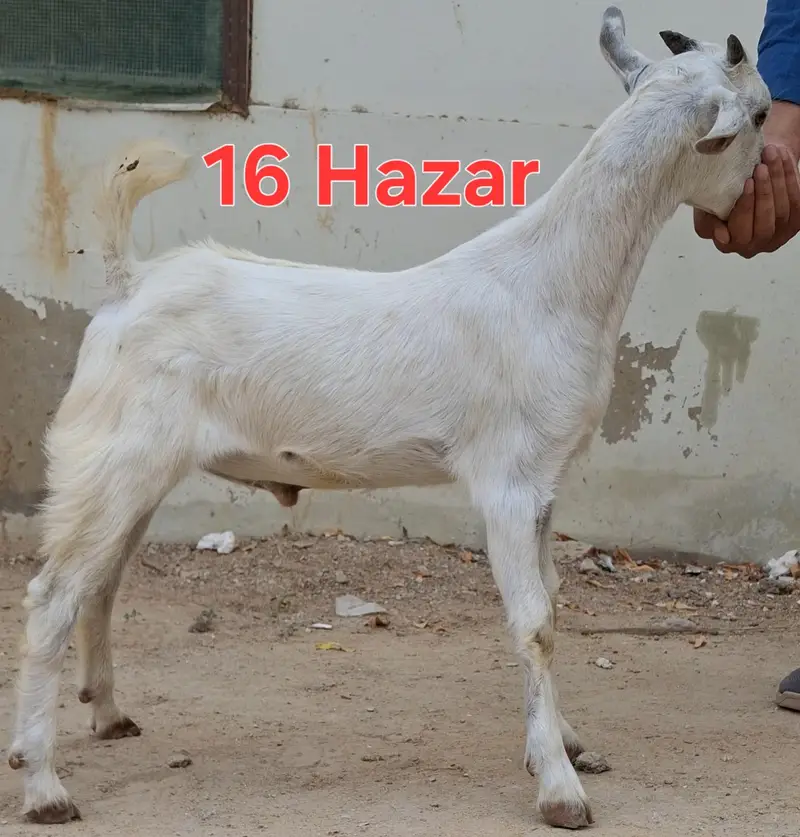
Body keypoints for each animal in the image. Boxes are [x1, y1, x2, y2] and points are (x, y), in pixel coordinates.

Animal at [7, 6, 771, 830]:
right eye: (761, 115)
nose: (753, 204)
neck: (555, 284)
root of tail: (130, 282)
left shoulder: (545, 482)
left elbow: (554, 604)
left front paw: (566, 740)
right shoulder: (508, 480)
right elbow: (533, 622)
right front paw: (560, 786)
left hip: (135, 470)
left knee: (101, 585)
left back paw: (109, 712)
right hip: (113, 459)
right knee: (52, 597)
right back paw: (43, 784)